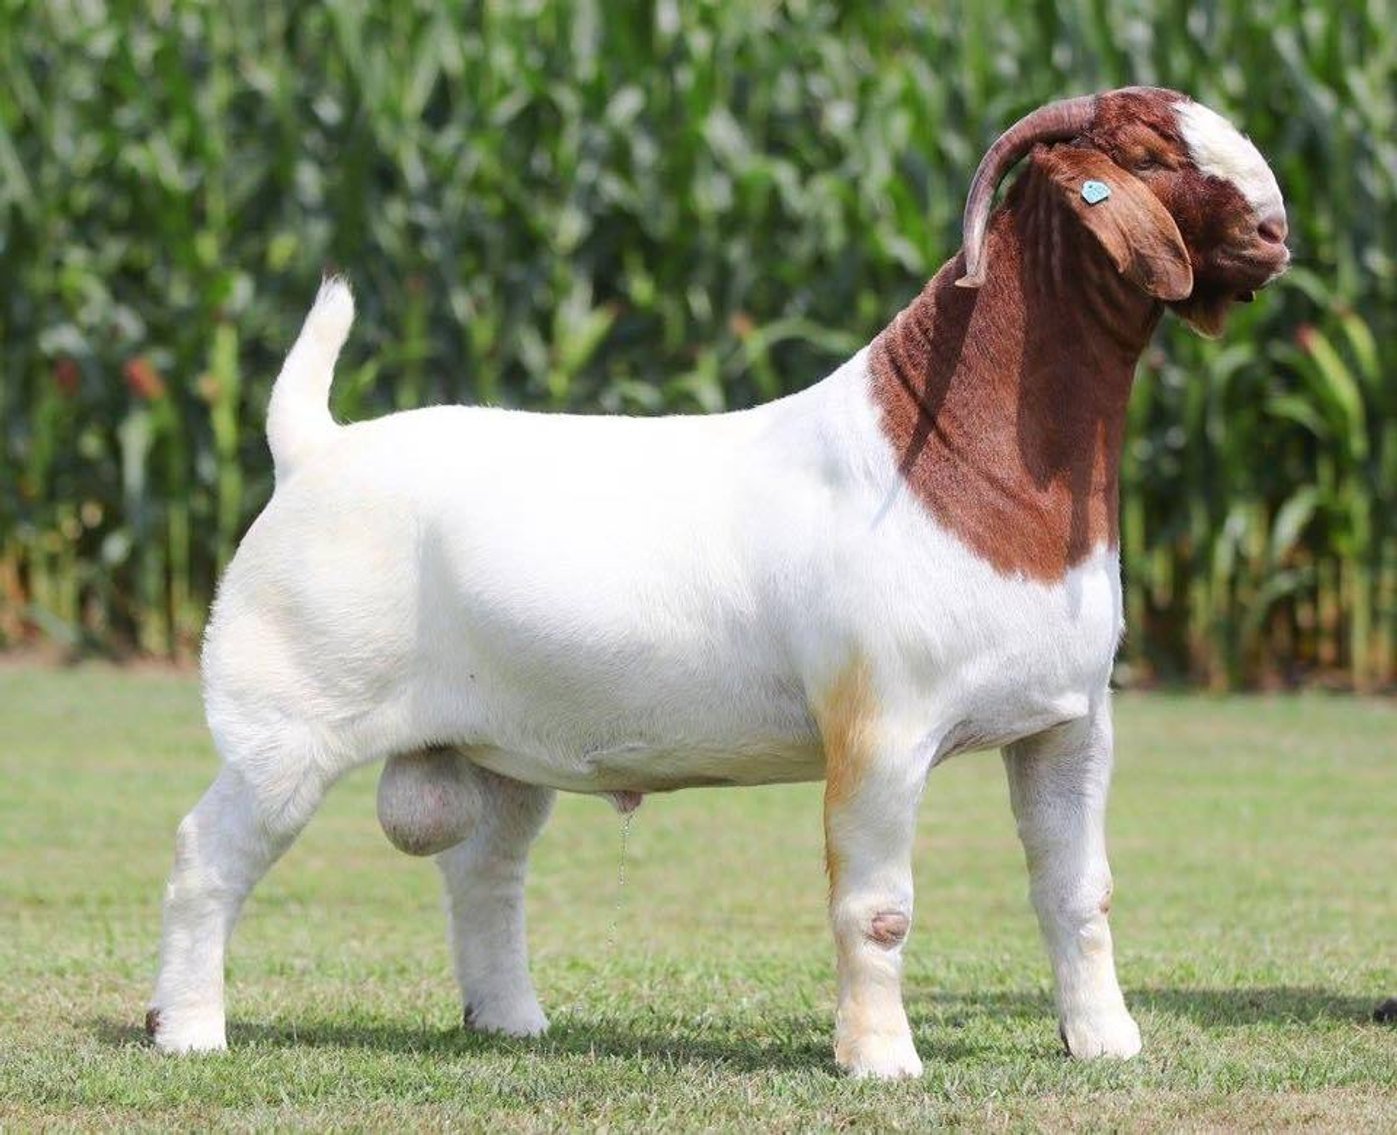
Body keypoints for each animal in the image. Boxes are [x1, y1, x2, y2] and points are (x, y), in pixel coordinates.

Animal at [148, 87, 1288, 1078]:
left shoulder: (1069, 723)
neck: (953, 456)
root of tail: (315, 451)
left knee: (486, 871)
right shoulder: (881, 725)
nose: (1275, 232)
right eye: (1148, 153)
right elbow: (877, 907)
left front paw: (1104, 1042)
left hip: (500, 745)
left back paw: (510, 1019)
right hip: (287, 722)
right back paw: (189, 1029)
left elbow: (1078, 892)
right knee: (212, 851)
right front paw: (880, 1059)